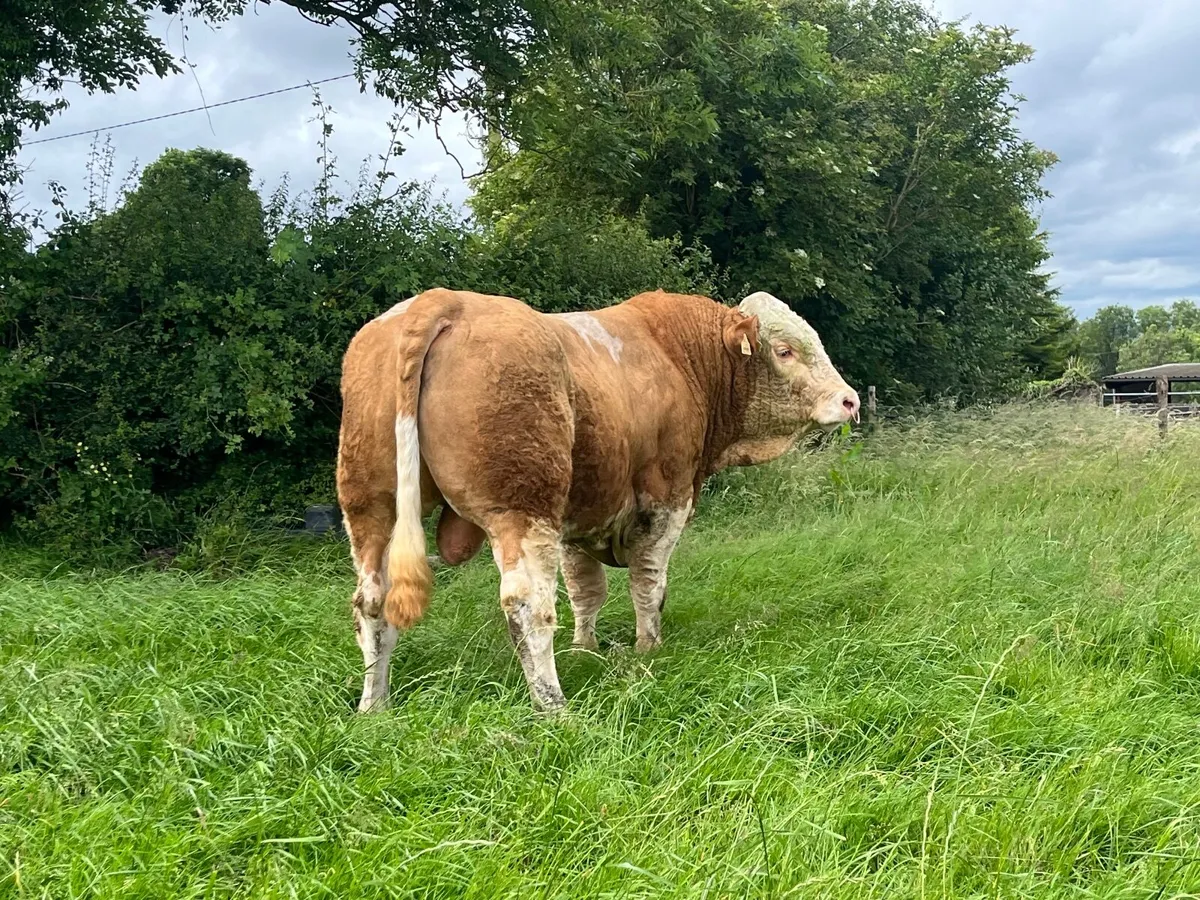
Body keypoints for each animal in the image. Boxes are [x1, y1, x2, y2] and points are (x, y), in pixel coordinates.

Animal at [336, 288, 859, 712]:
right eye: (785, 350)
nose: (850, 400)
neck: (682, 358)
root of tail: (443, 300)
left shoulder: (577, 520)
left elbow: (586, 591)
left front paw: (584, 650)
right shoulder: (665, 500)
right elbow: (649, 584)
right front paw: (649, 647)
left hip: (369, 506)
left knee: (372, 602)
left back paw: (374, 707)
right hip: (521, 507)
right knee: (528, 605)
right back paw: (553, 707)